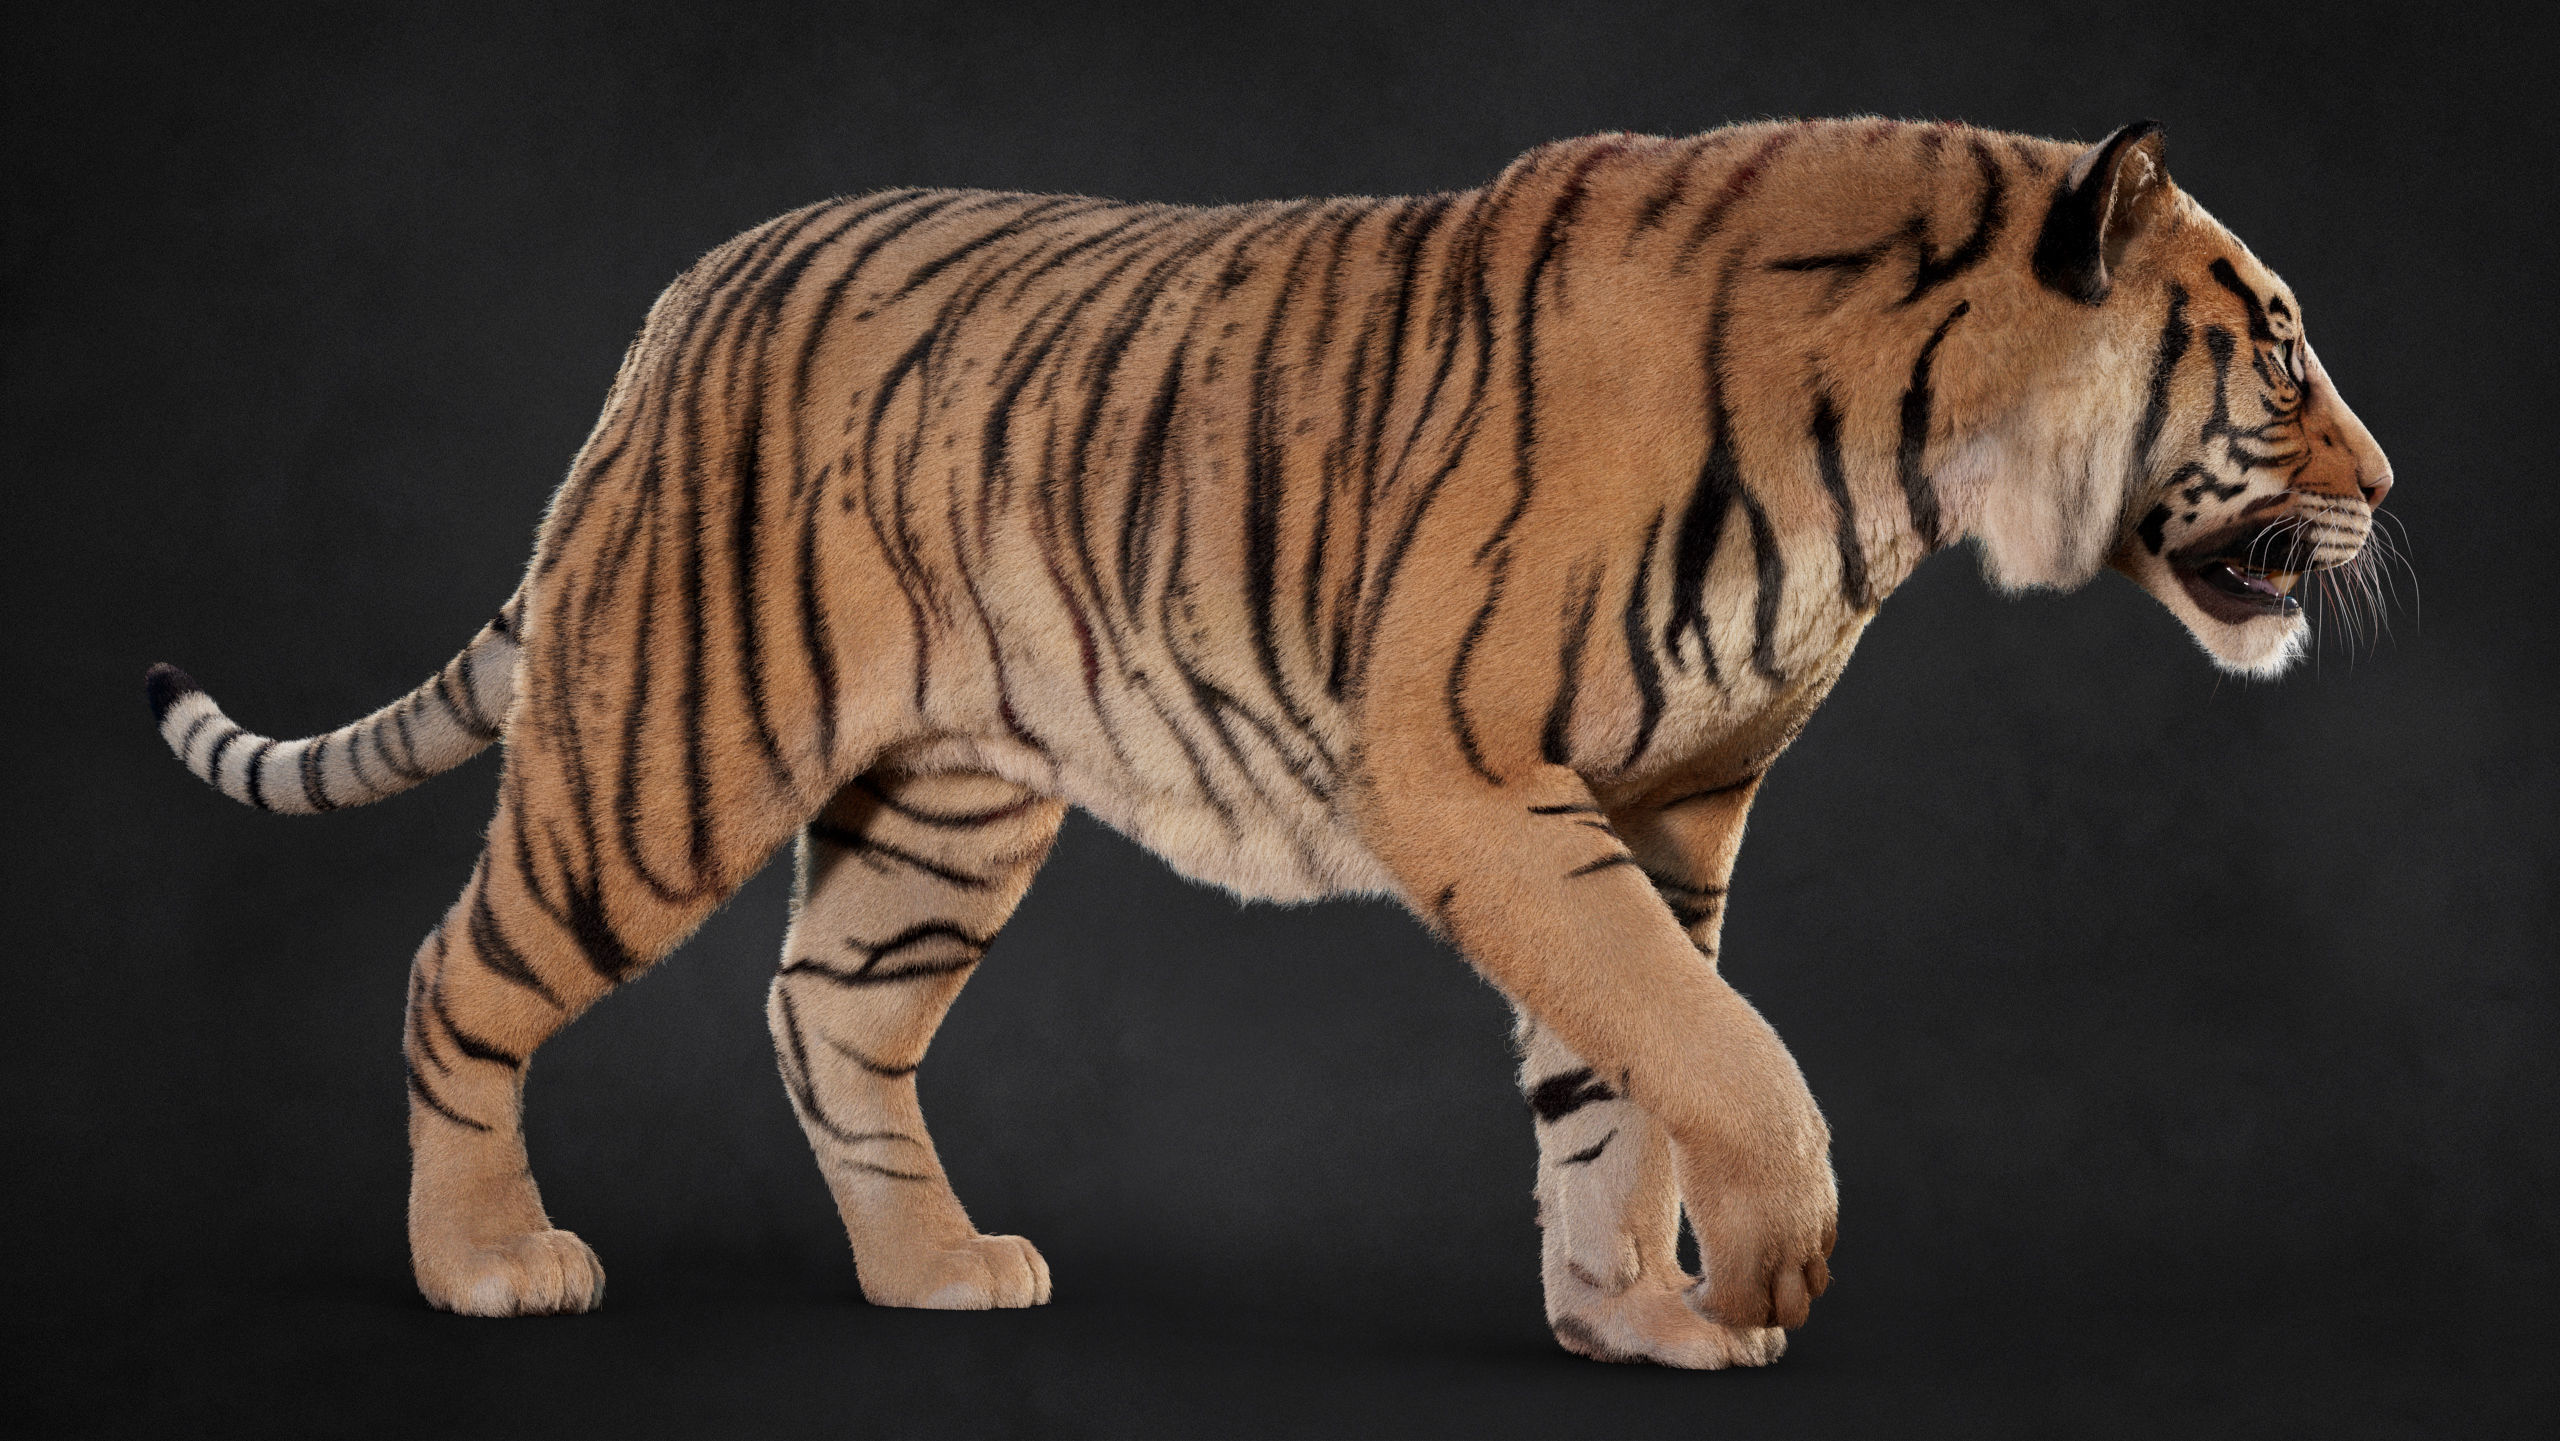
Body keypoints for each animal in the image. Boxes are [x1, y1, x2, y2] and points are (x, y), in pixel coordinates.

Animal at [145, 115, 2393, 1368]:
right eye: (2281, 355)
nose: (2388, 484)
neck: (1912, 461)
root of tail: (683, 299)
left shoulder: (1663, 807)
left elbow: (1627, 1068)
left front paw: (1629, 1321)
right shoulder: (1476, 774)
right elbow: (1712, 1047)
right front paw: (1766, 1266)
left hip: (944, 810)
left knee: (823, 1015)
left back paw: (935, 1273)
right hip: (667, 745)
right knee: (458, 972)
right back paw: (486, 1267)